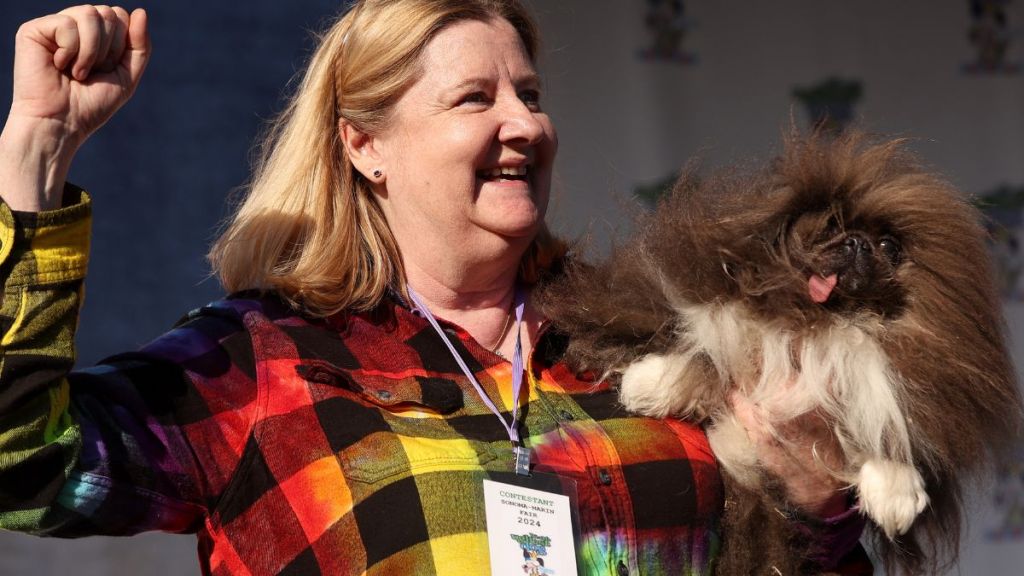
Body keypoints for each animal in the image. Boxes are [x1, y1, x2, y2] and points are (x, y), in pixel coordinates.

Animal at [536, 131, 1024, 573]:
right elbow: (705, 357)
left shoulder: (887, 384)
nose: (857, 243)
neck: (822, 321)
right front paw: (648, 384)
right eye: (828, 227)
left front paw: (896, 496)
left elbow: (885, 430)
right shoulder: (734, 327)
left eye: (889, 246)